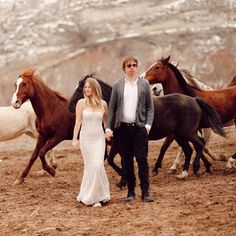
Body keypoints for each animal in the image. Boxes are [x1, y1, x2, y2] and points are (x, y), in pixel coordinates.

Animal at [68, 74, 225, 182]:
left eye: (81, 88)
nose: (70, 107)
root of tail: (194, 100)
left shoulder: (118, 142)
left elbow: (115, 160)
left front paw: (124, 178)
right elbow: (114, 160)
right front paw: (124, 178)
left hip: (186, 133)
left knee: (199, 144)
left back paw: (196, 169)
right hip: (180, 135)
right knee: (190, 149)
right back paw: (187, 172)